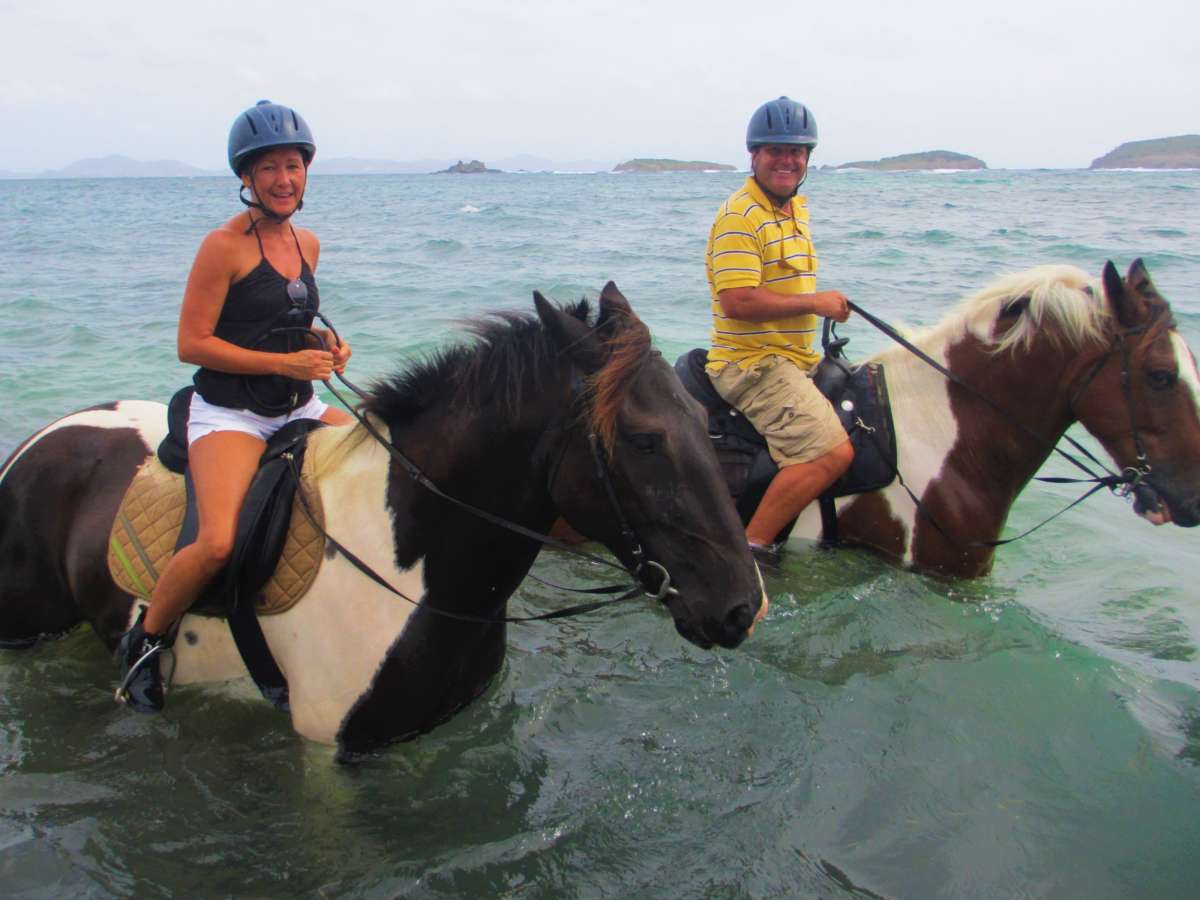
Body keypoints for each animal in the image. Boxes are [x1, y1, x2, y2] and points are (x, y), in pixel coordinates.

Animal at [0, 285, 763, 758]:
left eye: (702, 419)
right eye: (643, 440)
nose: (741, 607)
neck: (410, 565)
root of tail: (36, 440)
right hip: (27, 628)